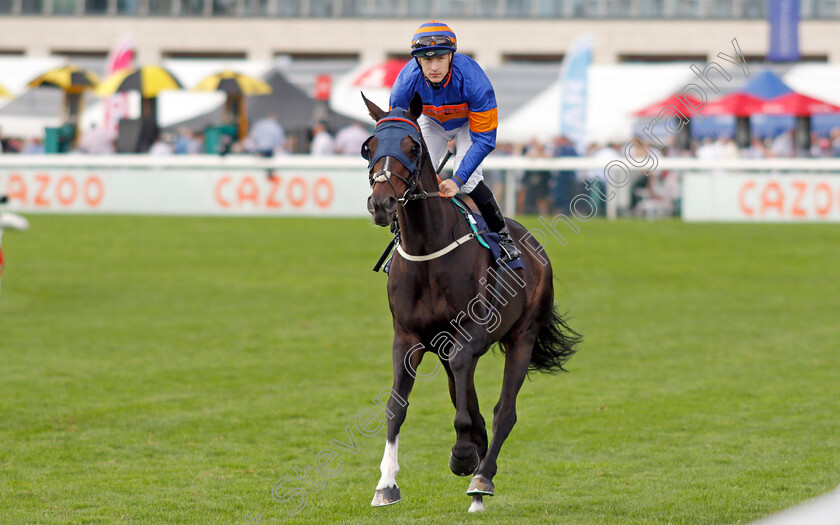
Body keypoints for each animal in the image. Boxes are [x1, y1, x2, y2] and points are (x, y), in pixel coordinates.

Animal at [364, 92, 580, 510]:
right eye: (369, 146)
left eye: (412, 148)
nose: (382, 203)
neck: (428, 248)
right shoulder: (408, 337)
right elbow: (397, 406)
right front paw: (386, 484)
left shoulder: (470, 333)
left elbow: (473, 412)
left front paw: (463, 456)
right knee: (472, 402)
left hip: (523, 335)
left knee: (504, 411)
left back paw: (482, 476)